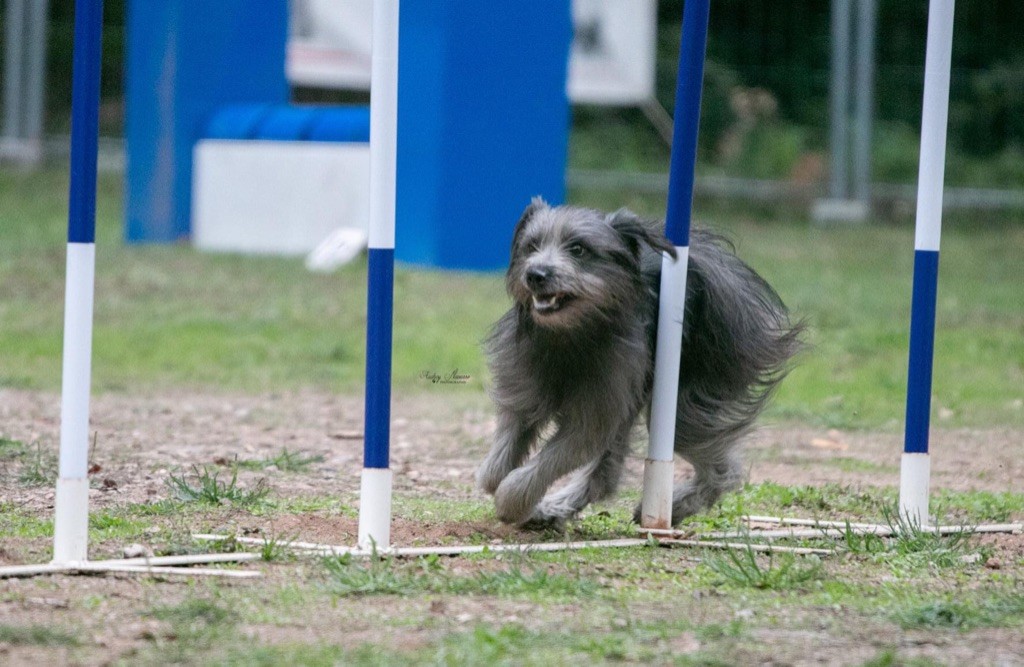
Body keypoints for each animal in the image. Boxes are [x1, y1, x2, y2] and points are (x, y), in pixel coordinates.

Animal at [475, 195, 802, 528]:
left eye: (578, 249)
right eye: (532, 246)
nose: (535, 275)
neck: (572, 334)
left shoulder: (593, 414)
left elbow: (546, 462)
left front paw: (514, 501)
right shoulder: (526, 390)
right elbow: (496, 465)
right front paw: (520, 495)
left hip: (689, 405)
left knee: (724, 471)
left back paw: (678, 504)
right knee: (606, 474)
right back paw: (557, 507)